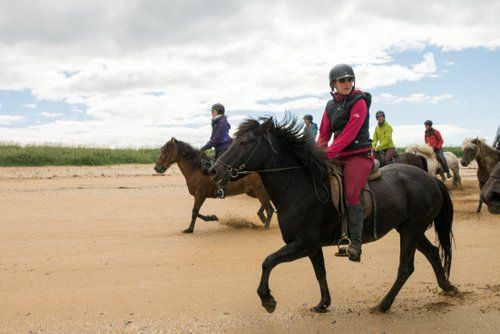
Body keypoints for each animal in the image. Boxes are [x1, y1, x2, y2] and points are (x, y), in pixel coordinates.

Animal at [209, 117, 458, 314]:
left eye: (243, 142)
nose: (213, 171)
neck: (300, 186)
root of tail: (431, 179)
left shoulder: (303, 243)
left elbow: (268, 262)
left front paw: (267, 299)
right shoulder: (312, 246)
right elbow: (320, 272)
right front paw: (323, 303)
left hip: (410, 230)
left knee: (406, 267)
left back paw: (384, 304)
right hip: (410, 229)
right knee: (433, 253)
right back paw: (448, 287)